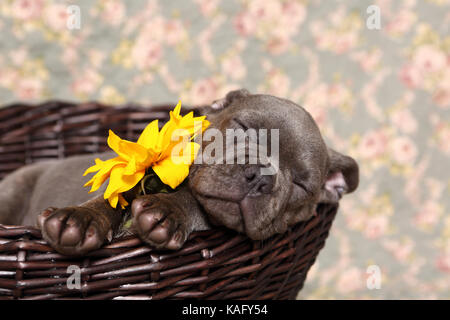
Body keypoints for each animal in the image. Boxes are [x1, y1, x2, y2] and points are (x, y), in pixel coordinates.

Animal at [0, 89, 358, 255]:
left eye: (301, 184)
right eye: (243, 127)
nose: (262, 177)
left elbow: (195, 205)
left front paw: (168, 212)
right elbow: (112, 198)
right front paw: (82, 218)